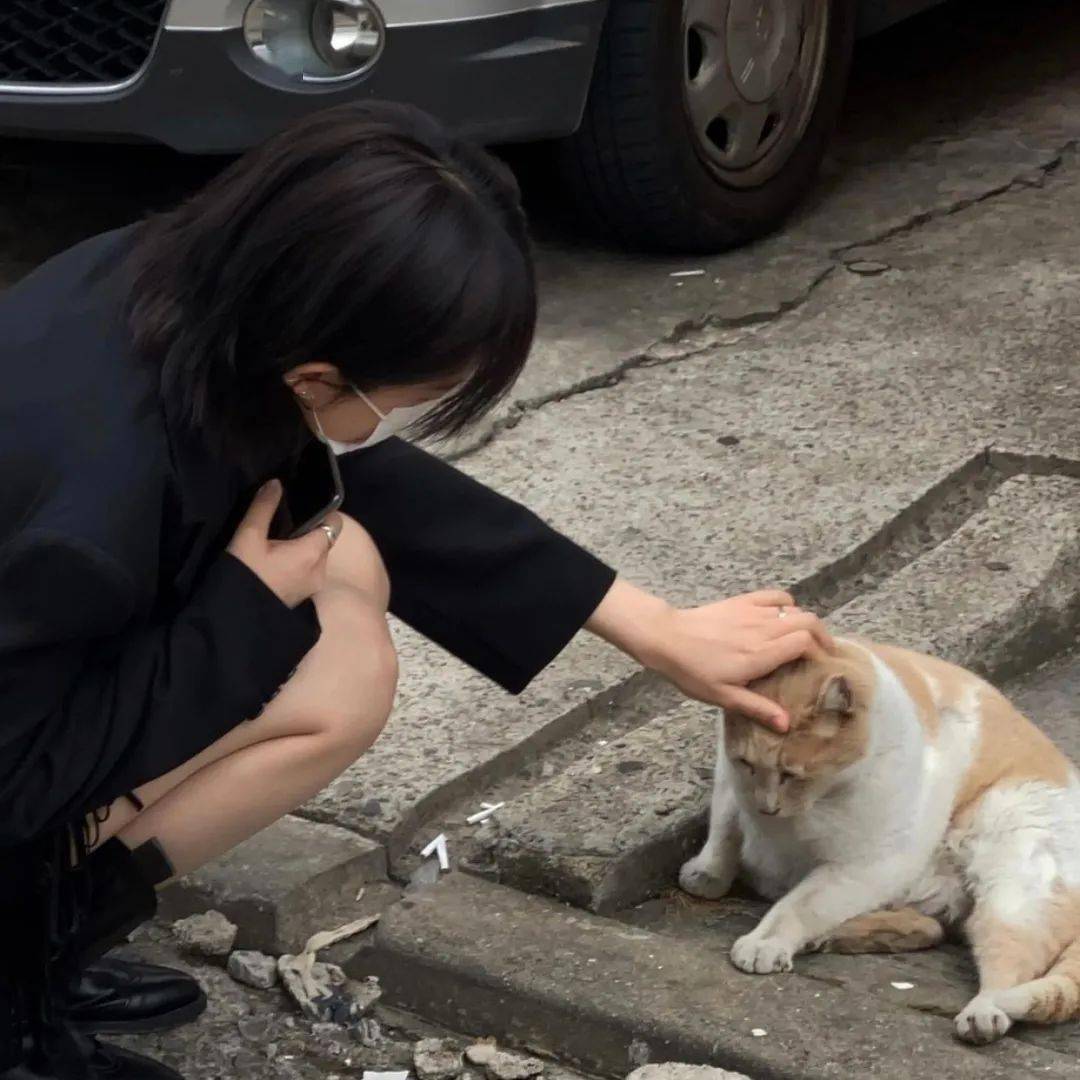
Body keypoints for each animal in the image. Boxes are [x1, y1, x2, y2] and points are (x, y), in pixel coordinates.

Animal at [678, 635, 1080, 1041]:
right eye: (747, 764)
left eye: (792, 775)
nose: (767, 807)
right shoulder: (729, 780)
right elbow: (724, 828)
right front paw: (708, 873)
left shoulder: (867, 864)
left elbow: (799, 905)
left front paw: (766, 941)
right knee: (931, 927)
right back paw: (837, 935)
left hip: (1012, 896)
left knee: (1006, 969)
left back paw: (983, 1012)